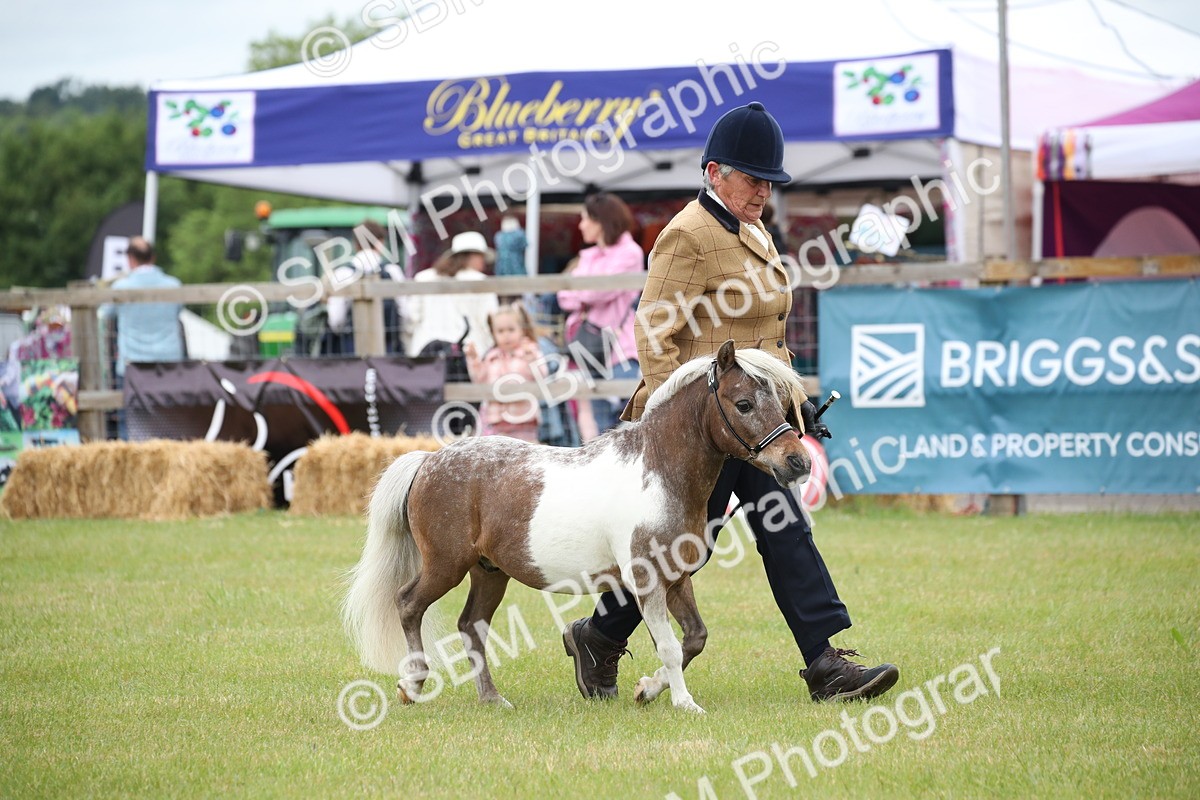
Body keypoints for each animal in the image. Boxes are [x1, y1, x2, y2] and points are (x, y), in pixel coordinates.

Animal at [342, 340, 813, 714]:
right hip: (446, 565)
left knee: (471, 626)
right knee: (408, 604)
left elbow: (694, 639)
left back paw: (493, 699)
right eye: (743, 404)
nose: (798, 463)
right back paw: (412, 685)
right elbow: (670, 646)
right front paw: (684, 703)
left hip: (489, 572)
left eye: (780, 403)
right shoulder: (646, 581)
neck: (657, 471)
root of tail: (427, 460)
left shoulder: (677, 578)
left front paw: (647, 690)